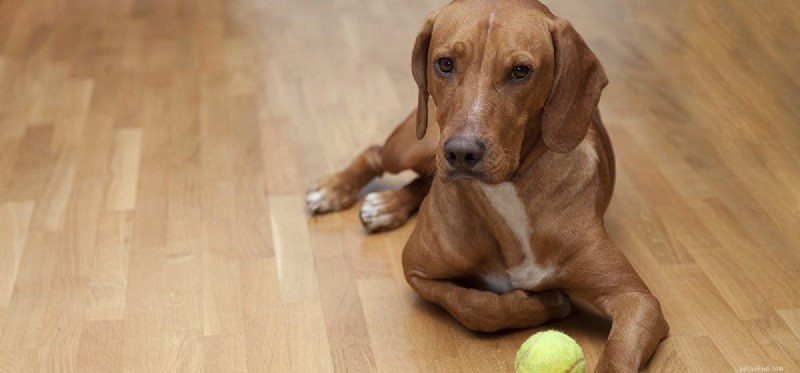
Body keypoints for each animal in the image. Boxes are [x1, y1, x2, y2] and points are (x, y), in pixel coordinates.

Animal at [306, 0, 668, 370]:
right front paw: (541, 305)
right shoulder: (416, 269)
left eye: (521, 71)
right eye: (445, 63)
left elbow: (618, 353)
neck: (508, 194)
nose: (461, 153)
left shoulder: (637, 300)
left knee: (420, 181)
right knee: (377, 153)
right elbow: (474, 306)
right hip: (416, 143)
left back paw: (387, 205)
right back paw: (335, 190)